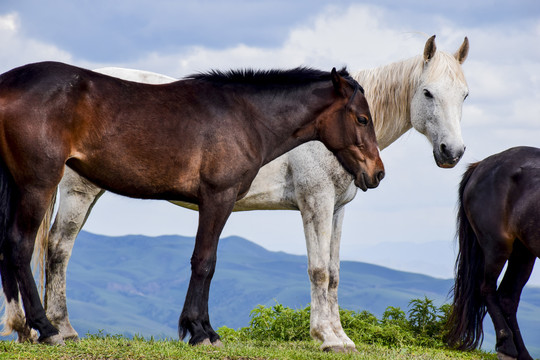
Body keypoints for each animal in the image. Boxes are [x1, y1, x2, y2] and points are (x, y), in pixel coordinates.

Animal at [7, 33, 468, 352]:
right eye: (428, 93)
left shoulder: (337, 209)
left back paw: (39, 328)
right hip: (72, 191)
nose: (453, 152)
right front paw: (325, 337)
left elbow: (335, 273)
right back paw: (54, 328)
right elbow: (312, 269)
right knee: (51, 249)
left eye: (464, 95)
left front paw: (340, 336)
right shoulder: (311, 202)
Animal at [448, 146, 540, 360]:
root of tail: (481, 165)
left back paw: (522, 354)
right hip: (497, 246)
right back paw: (506, 347)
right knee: (487, 289)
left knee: (508, 298)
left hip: (523, 252)